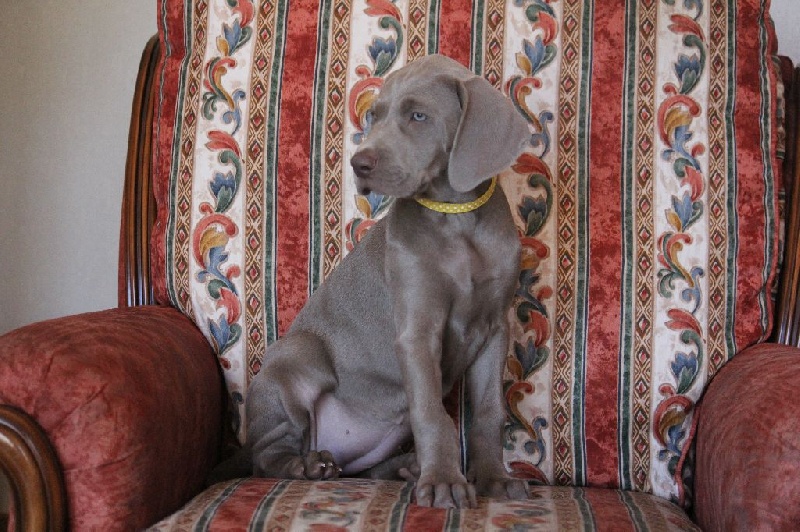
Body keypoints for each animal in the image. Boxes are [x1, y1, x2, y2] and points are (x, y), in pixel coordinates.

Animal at [244, 54, 530, 509]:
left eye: (418, 116)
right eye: (373, 116)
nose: (359, 164)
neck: (457, 219)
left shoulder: (495, 330)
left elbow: (488, 411)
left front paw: (492, 478)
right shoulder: (417, 331)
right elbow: (433, 412)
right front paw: (444, 481)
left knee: (365, 468)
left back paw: (406, 467)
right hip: (296, 358)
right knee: (268, 455)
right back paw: (309, 465)